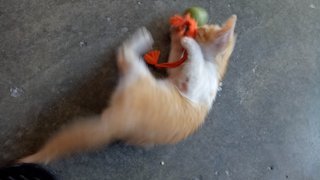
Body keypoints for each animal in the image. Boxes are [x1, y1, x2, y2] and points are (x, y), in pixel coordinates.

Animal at [18, 15, 236, 165]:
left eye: (201, 31)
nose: (193, 29)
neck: (214, 66)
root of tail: (115, 123)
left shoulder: (194, 83)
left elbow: (195, 60)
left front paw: (189, 43)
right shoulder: (177, 72)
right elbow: (177, 57)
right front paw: (177, 35)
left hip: (138, 77)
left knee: (123, 55)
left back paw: (139, 41)